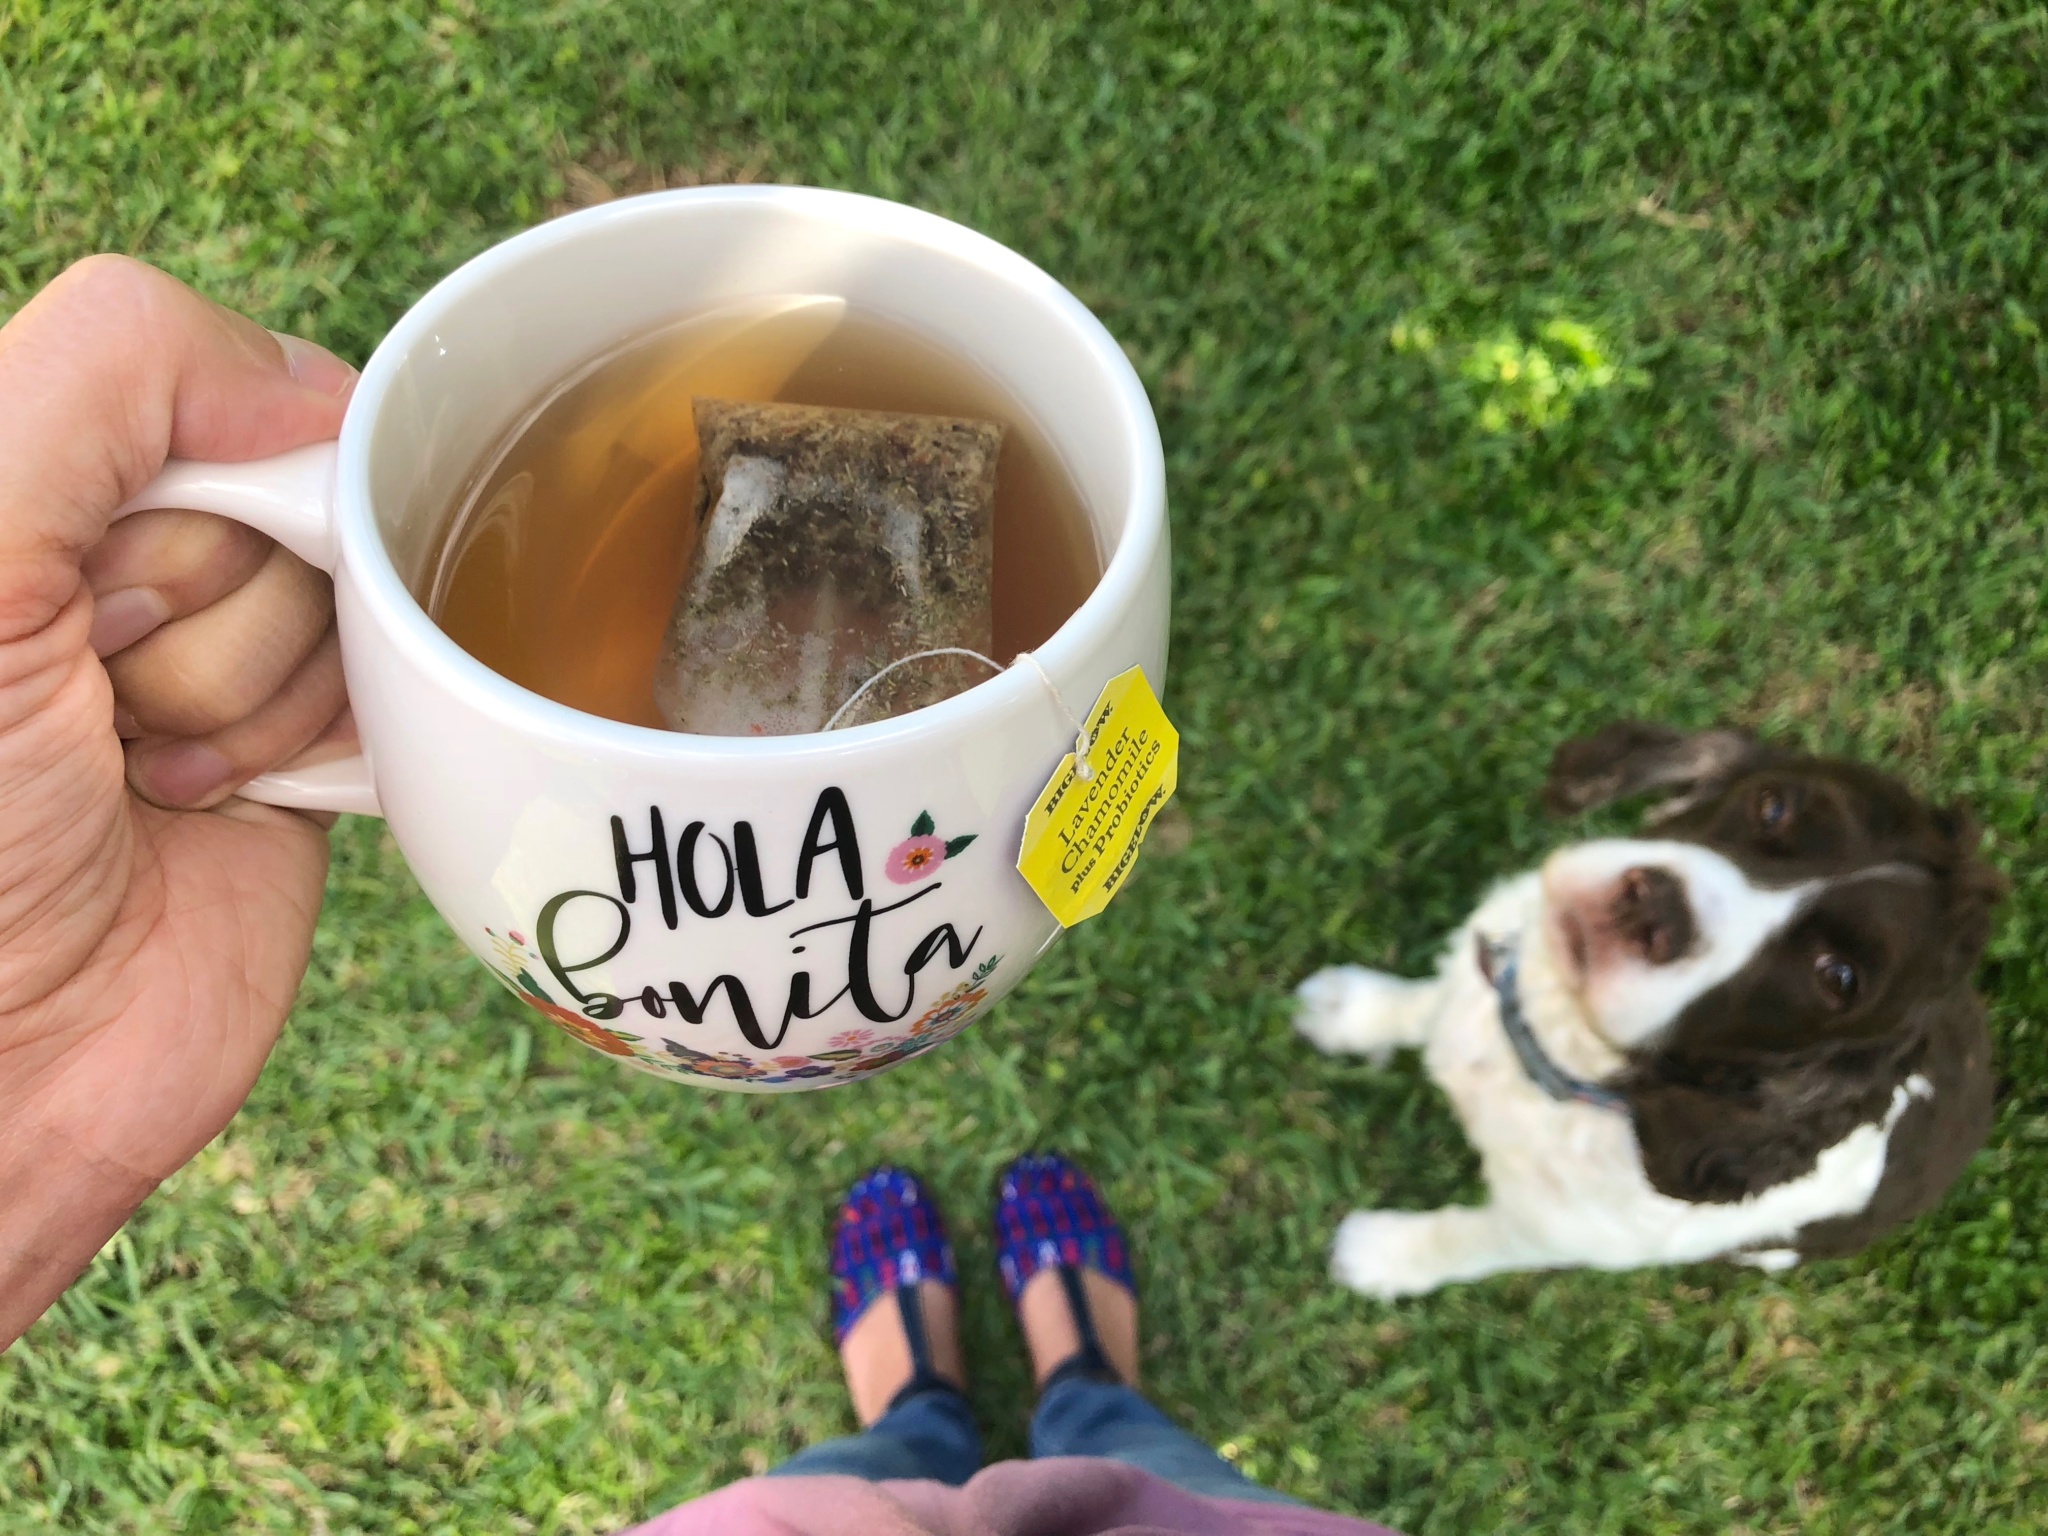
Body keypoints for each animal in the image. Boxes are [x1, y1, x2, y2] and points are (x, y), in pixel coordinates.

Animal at [1294, 724, 1998, 1302]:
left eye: (1839, 977)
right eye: (1772, 804)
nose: (1654, 909)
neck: (1561, 1048)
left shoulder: (1555, 1231)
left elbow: (1470, 1239)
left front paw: (1379, 1255)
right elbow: (1432, 1000)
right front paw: (1349, 1010)